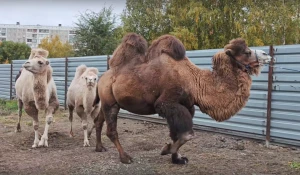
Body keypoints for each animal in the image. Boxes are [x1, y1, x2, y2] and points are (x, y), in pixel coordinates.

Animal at [94, 32, 272, 164]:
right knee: (111, 130)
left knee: (99, 120)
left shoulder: (187, 106)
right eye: (247, 52)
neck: (194, 81)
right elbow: (187, 134)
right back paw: (125, 157)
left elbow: (176, 134)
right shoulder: (167, 104)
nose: (267, 55)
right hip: (110, 102)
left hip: (107, 101)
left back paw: (99, 147)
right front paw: (166, 150)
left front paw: (178, 158)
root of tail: (102, 77)